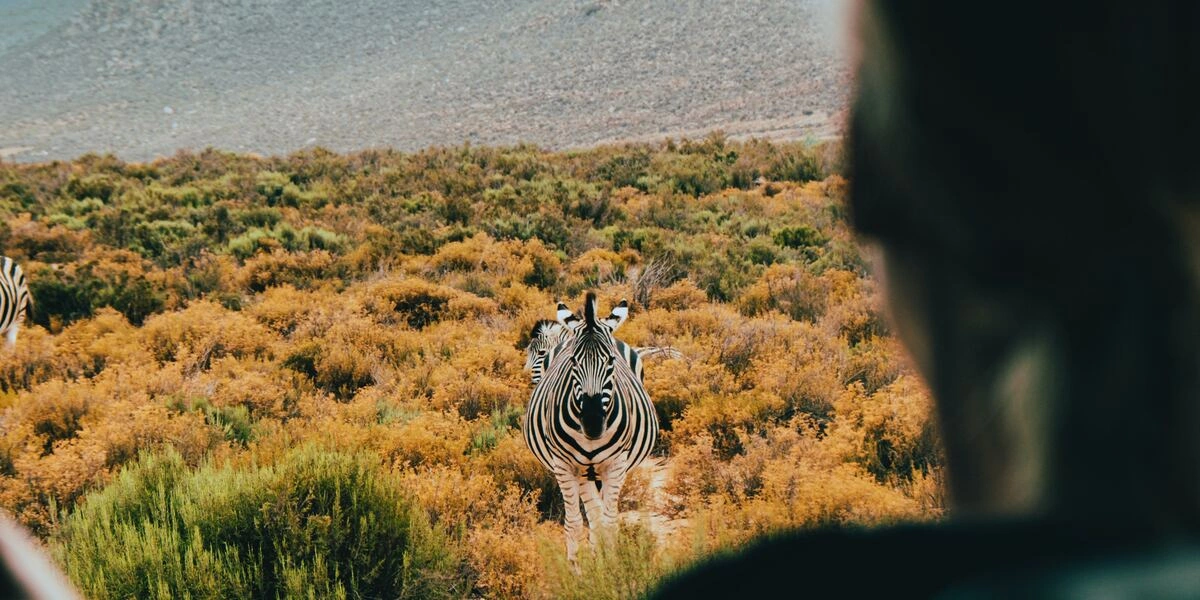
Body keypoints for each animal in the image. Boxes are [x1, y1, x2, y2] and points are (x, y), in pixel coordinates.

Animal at [523, 292, 662, 564]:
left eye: (610, 361)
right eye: (573, 361)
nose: (593, 423)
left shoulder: (616, 465)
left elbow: (608, 522)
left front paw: (611, 567)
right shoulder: (565, 466)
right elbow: (575, 523)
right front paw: (577, 570)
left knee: (602, 515)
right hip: (584, 473)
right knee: (593, 514)